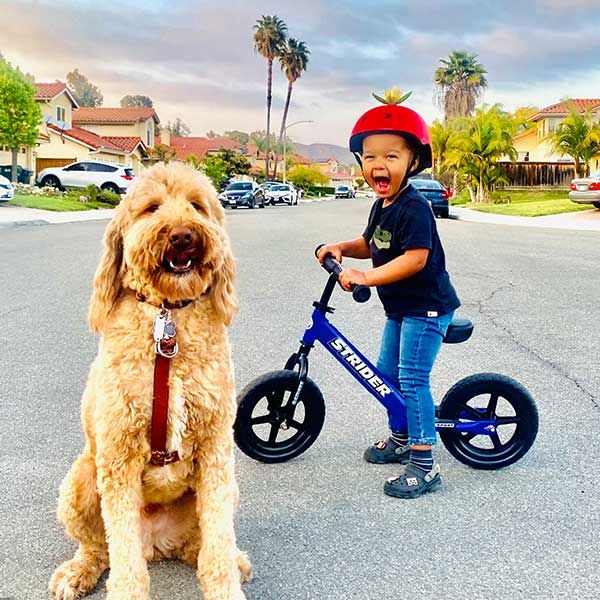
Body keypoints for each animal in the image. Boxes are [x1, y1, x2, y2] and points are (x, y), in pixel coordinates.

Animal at [48, 162, 251, 596]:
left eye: (197, 205)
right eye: (151, 207)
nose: (183, 234)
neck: (167, 320)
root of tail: (158, 543)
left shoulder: (216, 449)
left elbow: (218, 542)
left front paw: (225, 585)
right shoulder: (118, 456)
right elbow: (124, 557)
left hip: (227, 489)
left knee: (202, 546)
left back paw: (234, 559)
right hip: (80, 479)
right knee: (99, 548)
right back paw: (76, 571)